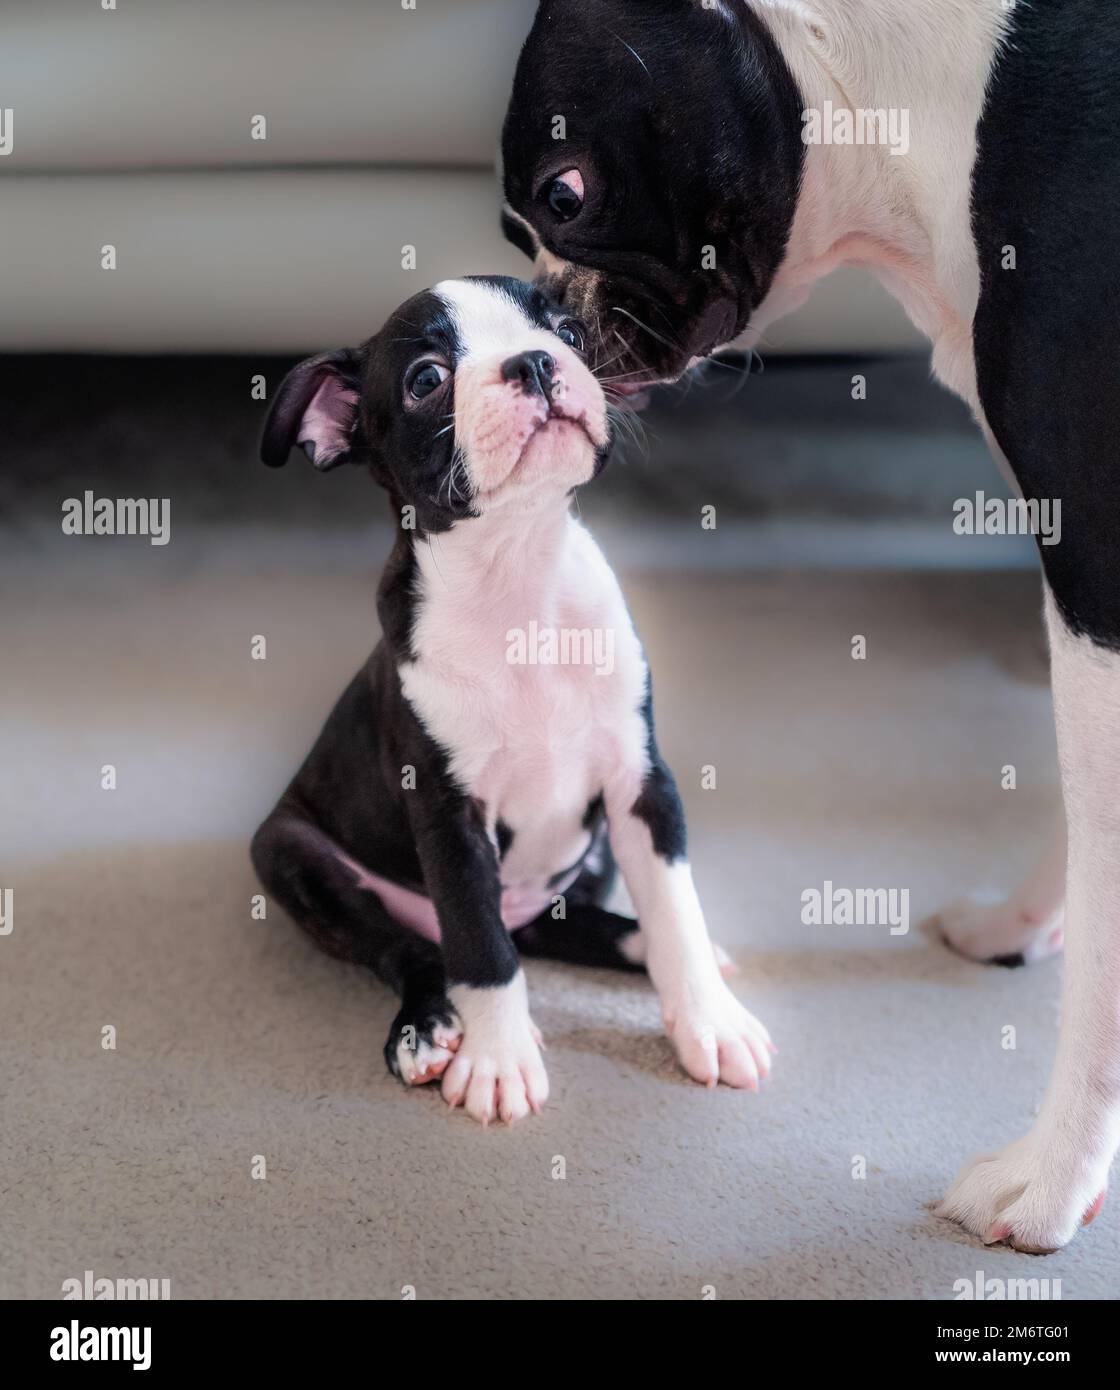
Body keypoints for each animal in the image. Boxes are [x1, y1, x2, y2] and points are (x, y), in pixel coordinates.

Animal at [251, 276, 778, 1123]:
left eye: (567, 331)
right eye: (426, 379)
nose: (533, 362)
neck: (519, 574)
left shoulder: (641, 784)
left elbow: (675, 911)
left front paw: (710, 1021)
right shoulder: (448, 814)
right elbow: (478, 943)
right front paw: (498, 1059)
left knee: (560, 930)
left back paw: (646, 949)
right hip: (290, 852)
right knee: (416, 949)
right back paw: (427, 1028)